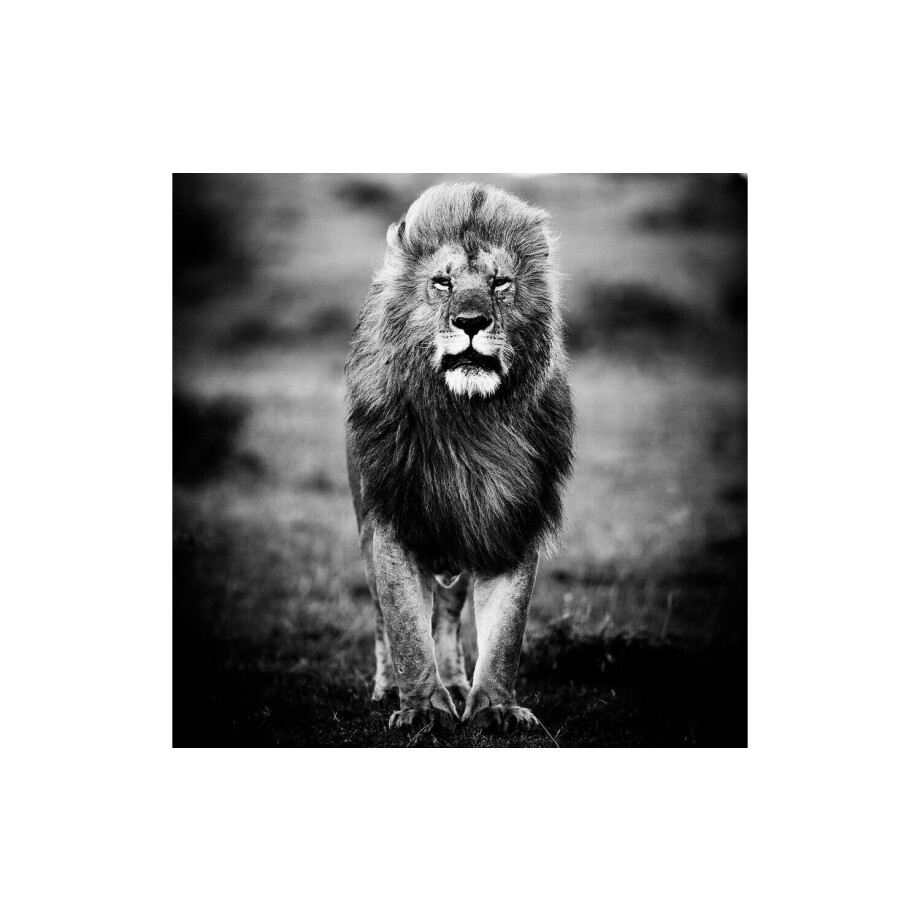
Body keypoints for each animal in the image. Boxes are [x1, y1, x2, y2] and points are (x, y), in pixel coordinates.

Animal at [345, 182, 574, 734]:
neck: (467, 422)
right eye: (442, 282)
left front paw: (494, 707)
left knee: (448, 616)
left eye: (500, 282)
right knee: (383, 616)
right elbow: (406, 627)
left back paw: (453, 682)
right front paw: (421, 710)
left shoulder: (509, 515)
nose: (471, 322)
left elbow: (506, 631)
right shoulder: (392, 518)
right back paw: (389, 688)